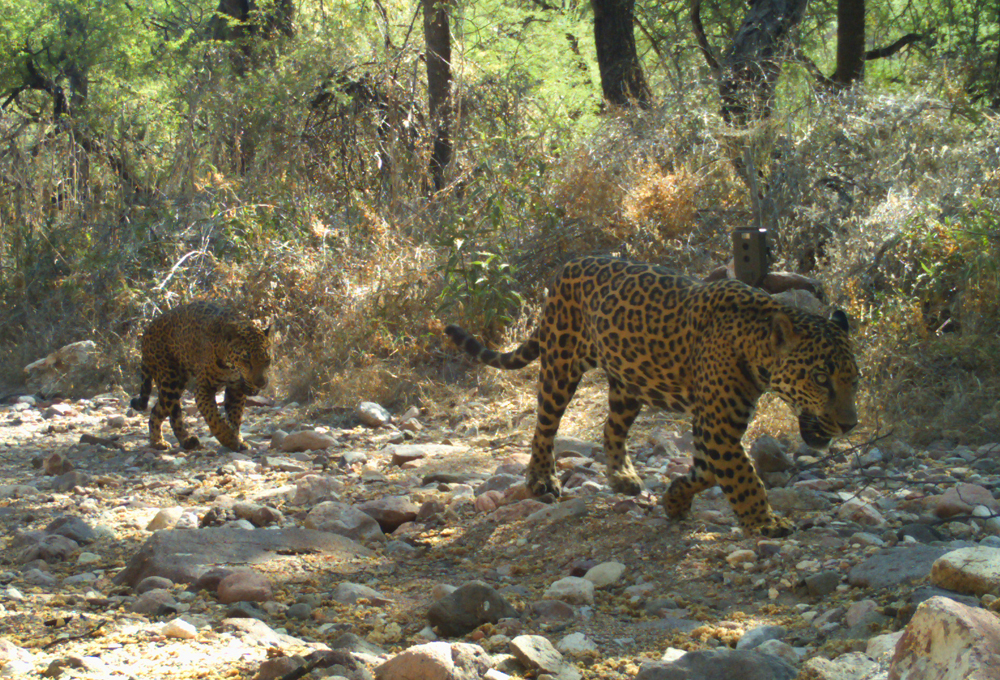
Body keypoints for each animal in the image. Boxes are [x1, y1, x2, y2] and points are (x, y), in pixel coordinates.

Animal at [130, 301, 272, 452]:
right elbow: (213, 417)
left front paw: (237, 438)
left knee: (162, 410)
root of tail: (147, 330)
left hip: (174, 384)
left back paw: (170, 441)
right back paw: (172, 441)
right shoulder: (204, 388)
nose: (260, 383)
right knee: (166, 412)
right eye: (246, 361)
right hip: (170, 381)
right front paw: (229, 439)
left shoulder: (236, 389)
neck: (230, 367)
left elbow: (235, 415)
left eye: (267, 361)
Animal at [445, 256, 859, 537]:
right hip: (561, 365)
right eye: (821, 378)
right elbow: (743, 476)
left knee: (611, 428)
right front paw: (766, 522)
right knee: (544, 425)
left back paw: (624, 477)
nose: (849, 424)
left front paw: (675, 498)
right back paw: (542, 480)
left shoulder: (714, 427)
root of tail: (566, 267)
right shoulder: (719, 428)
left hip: (629, 384)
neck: (754, 346)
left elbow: (708, 470)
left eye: (854, 381)